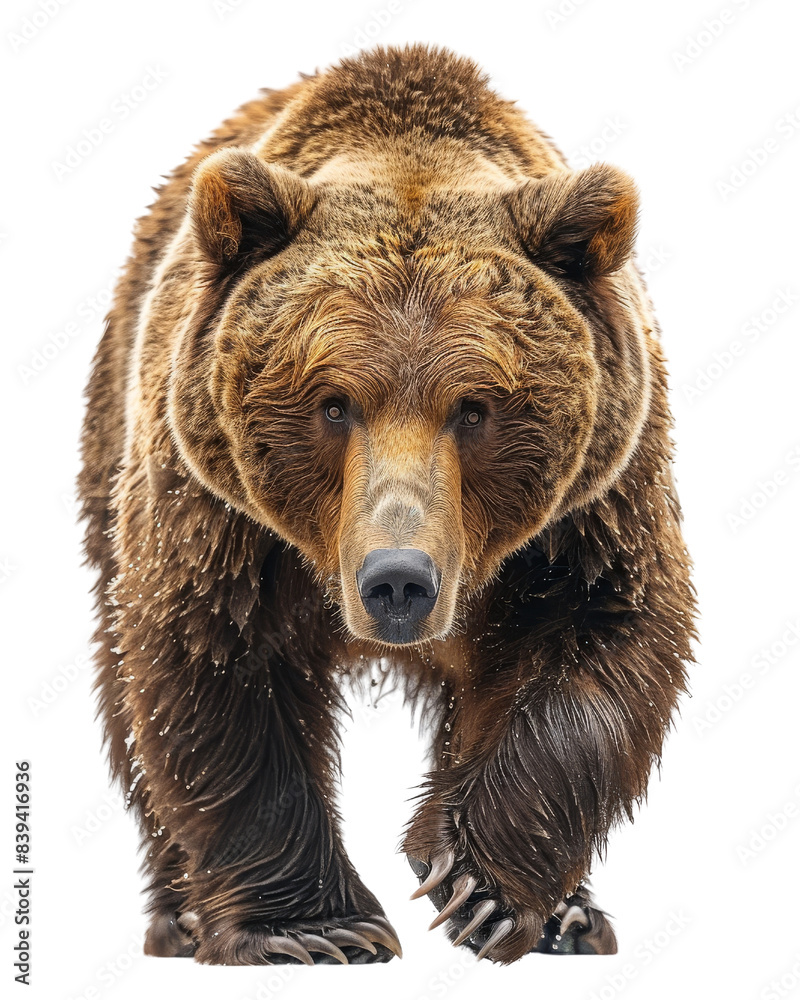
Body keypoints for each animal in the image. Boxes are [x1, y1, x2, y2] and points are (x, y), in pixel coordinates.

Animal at [78, 43, 695, 965]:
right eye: (333, 403)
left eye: (475, 408)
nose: (397, 580)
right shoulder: (223, 515)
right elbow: (216, 665)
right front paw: (312, 927)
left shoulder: (590, 508)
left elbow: (598, 644)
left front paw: (478, 887)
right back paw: (179, 914)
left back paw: (572, 915)